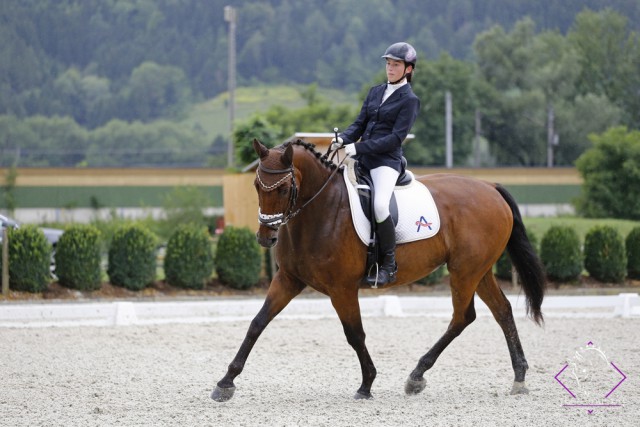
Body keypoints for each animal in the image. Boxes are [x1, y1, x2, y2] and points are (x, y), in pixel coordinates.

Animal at [211, 139, 544, 402]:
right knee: (501, 311)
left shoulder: (342, 288)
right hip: (478, 270)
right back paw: (519, 377)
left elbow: (354, 334)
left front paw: (366, 384)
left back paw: (416, 376)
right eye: (257, 185)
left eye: (282, 189)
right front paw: (225, 383)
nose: (265, 238)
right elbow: (257, 323)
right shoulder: (288, 279)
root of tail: (490, 187)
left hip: (465, 271)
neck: (321, 210)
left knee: (463, 317)